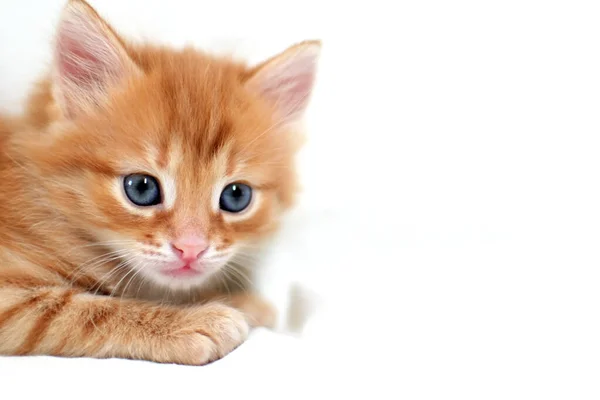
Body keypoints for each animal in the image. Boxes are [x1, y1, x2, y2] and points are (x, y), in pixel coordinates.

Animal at [0, 0, 318, 364]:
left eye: (236, 196)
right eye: (142, 188)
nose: (191, 248)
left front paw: (237, 301)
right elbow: (82, 312)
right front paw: (192, 321)